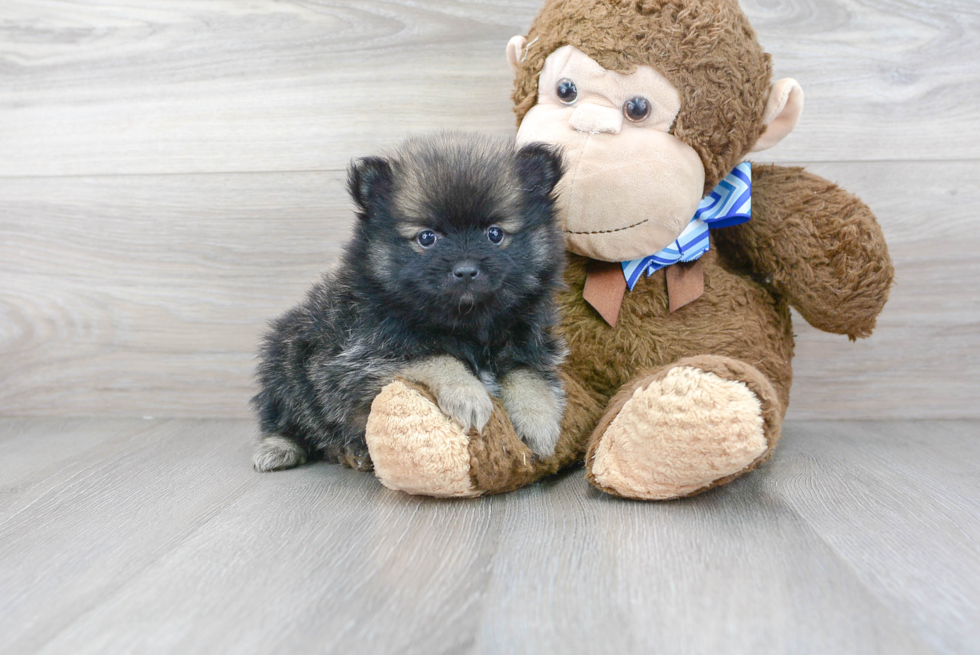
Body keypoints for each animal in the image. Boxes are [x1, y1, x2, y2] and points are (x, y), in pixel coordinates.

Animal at [253, 132, 568, 472]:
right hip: (286, 360)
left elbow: (529, 378)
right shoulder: (368, 356)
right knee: (286, 419)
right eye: (427, 238)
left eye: (494, 234)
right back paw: (280, 447)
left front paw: (539, 423)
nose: (466, 270)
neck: (467, 322)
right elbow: (438, 357)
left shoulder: (529, 347)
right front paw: (468, 394)